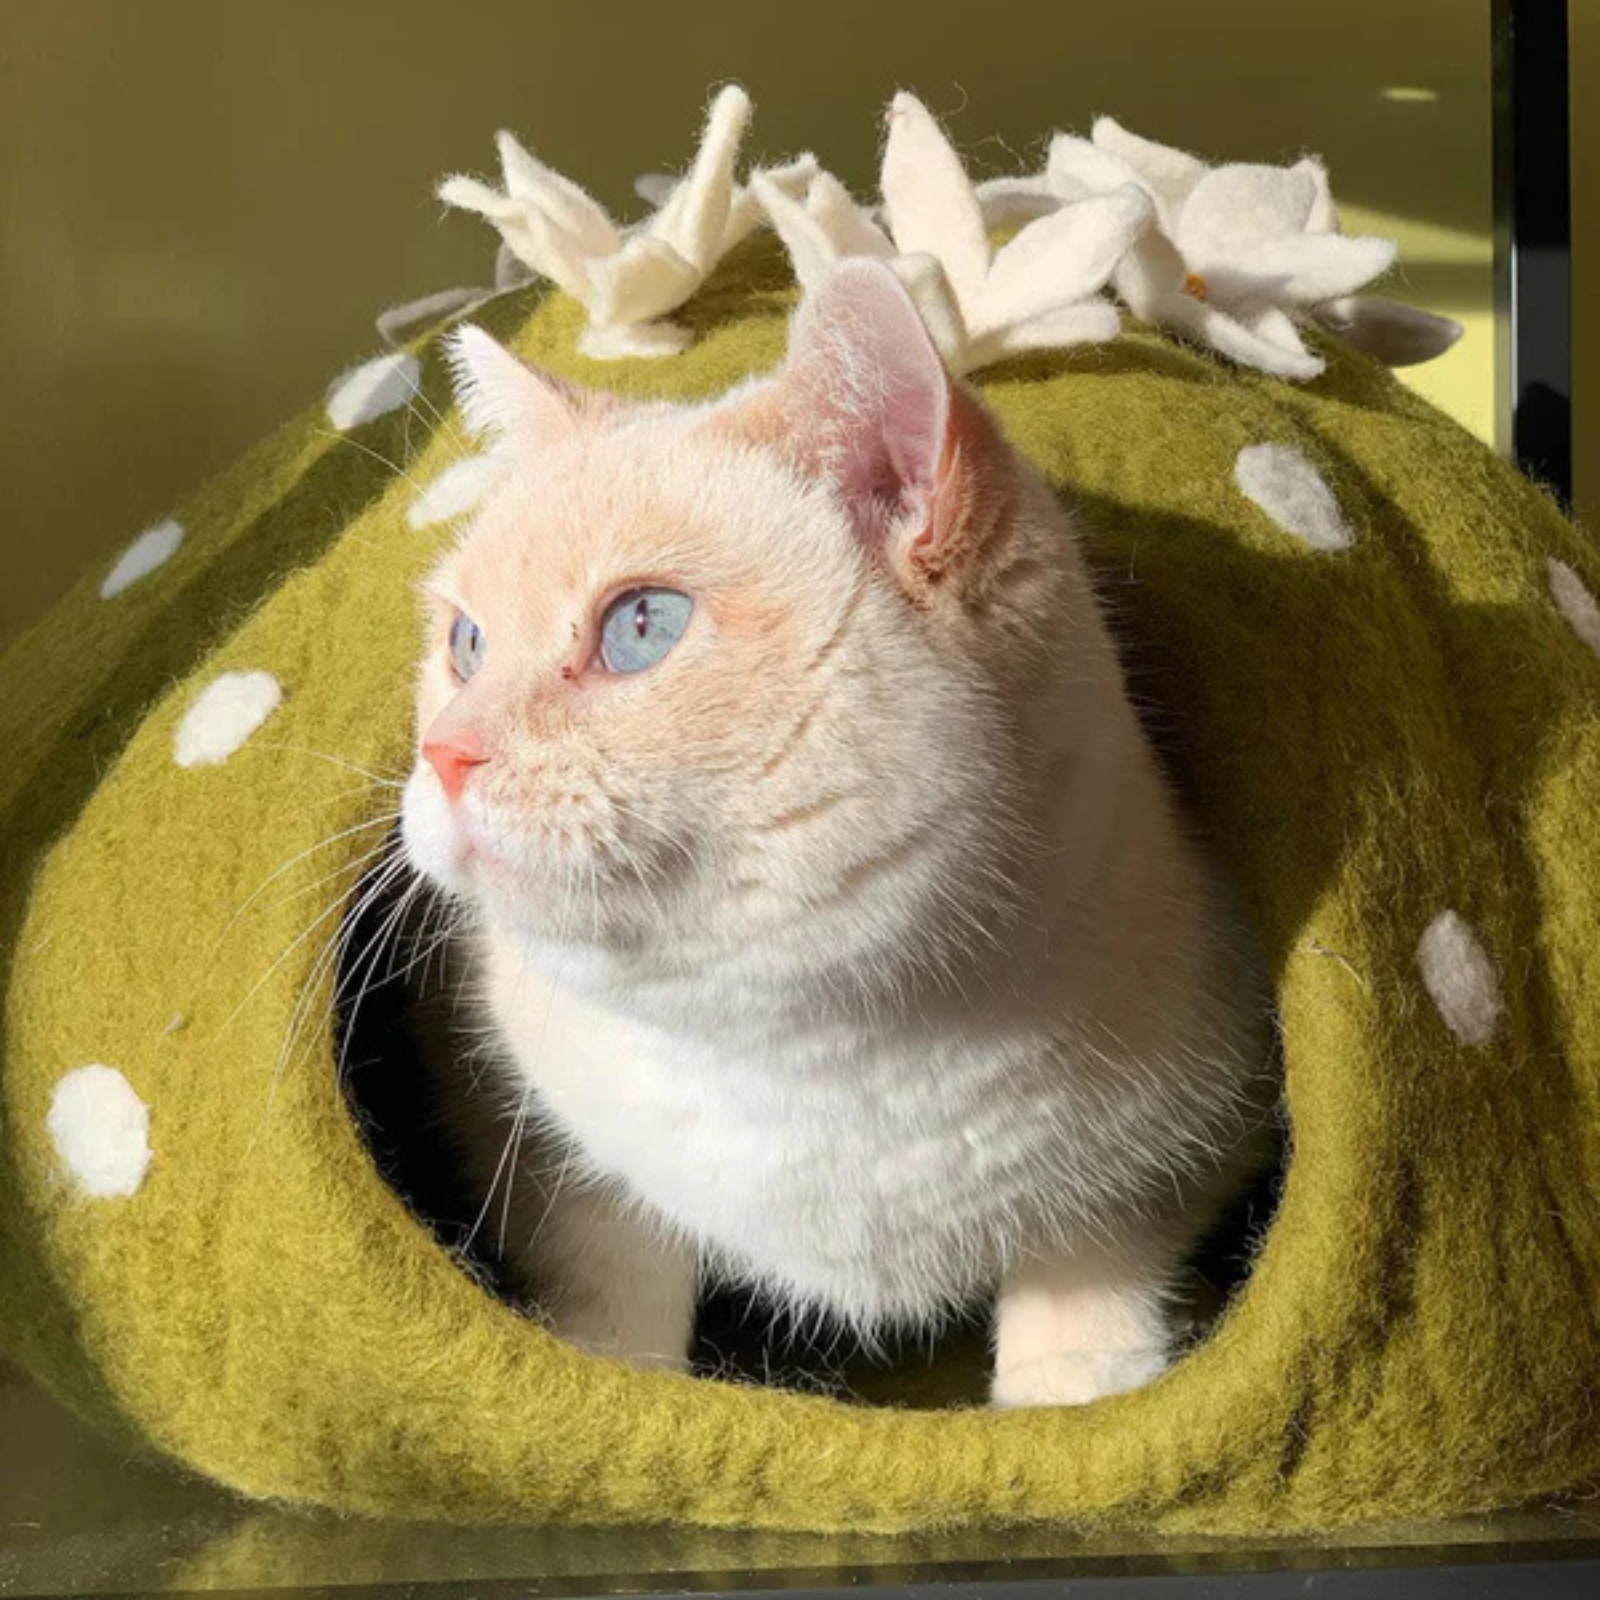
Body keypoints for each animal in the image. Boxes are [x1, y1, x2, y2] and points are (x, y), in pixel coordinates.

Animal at [399, 258, 1275, 1407]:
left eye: (641, 627)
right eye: (466, 644)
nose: (445, 753)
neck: (816, 1064)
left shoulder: (1169, 1162)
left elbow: (1087, 1294)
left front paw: (1070, 1396)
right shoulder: (540, 1141)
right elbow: (616, 1285)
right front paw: (617, 1379)